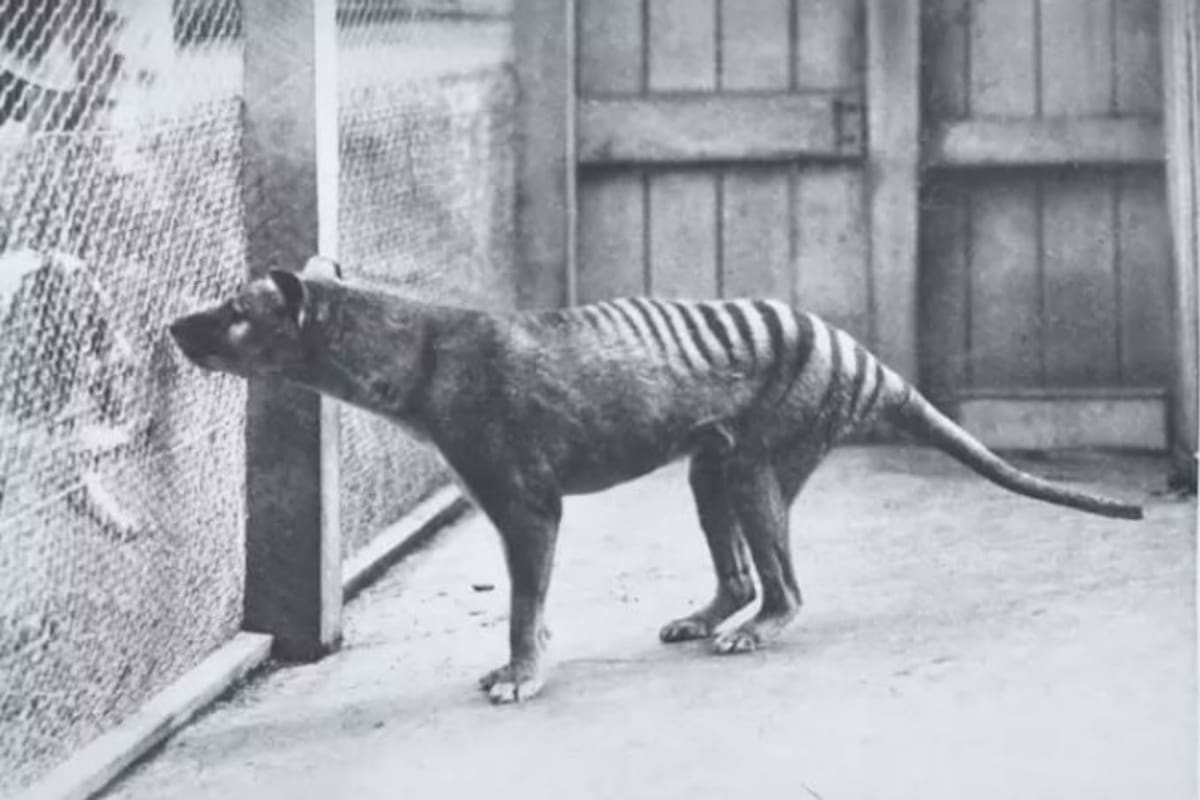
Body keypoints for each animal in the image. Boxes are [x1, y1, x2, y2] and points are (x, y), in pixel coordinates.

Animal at [167, 255, 1143, 704]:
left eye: (236, 311)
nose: (175, 327)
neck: (419, 353)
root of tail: (860, 357)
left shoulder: (526, 502)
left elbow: (523, 599)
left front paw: (521, 672)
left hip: (758, 463)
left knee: (784, 585)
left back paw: (752, 632)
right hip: (712, 467)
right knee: (740, 571)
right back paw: (709, 616)